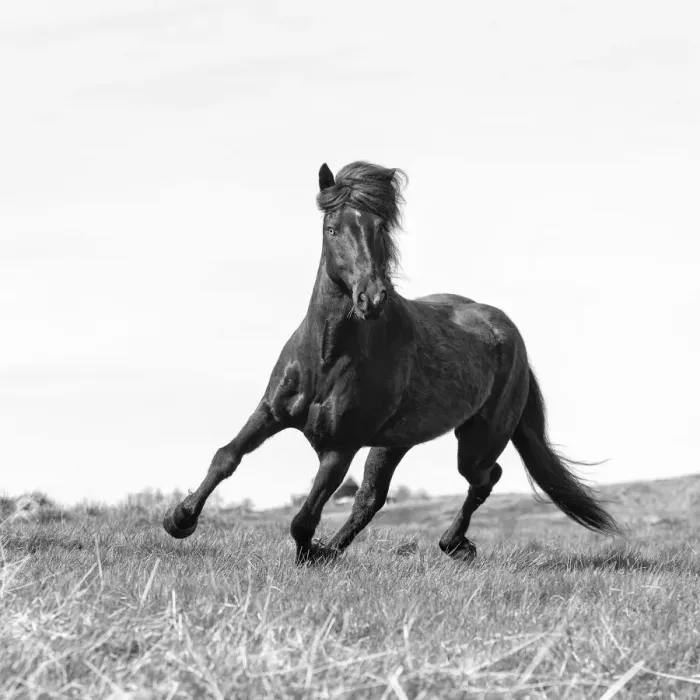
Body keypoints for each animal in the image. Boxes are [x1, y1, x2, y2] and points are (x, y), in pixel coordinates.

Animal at [163, 161, 619, 563]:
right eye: (332, 229)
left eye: (380, 229)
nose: (371, 298)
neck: (326, 357)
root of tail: (508, 333)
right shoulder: (271, 412)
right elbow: (227, 456)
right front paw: (179, 519)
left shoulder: (340, 446)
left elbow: (303, 518)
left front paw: (309, 554)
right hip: (394, 442)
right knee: (372, 498)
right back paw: (344, 550)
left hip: (477, 440)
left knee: (484, 478)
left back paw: (453, 544)